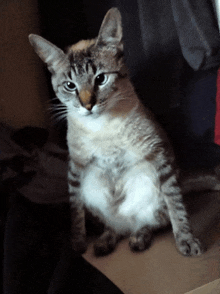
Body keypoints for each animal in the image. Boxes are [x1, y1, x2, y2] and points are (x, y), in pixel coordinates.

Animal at [28, 6, 219, 255]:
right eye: (70, 86)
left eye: (100, 79)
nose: (87, 105)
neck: (102, 127)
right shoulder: (77, 167)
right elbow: (76, 214)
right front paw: (77, 245)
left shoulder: (159, 158)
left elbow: (177, 209)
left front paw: (187, 241)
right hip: (92, 184)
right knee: (114, 226)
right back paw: (104, 243)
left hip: (151, 181)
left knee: (147, 222)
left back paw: (138, 239)